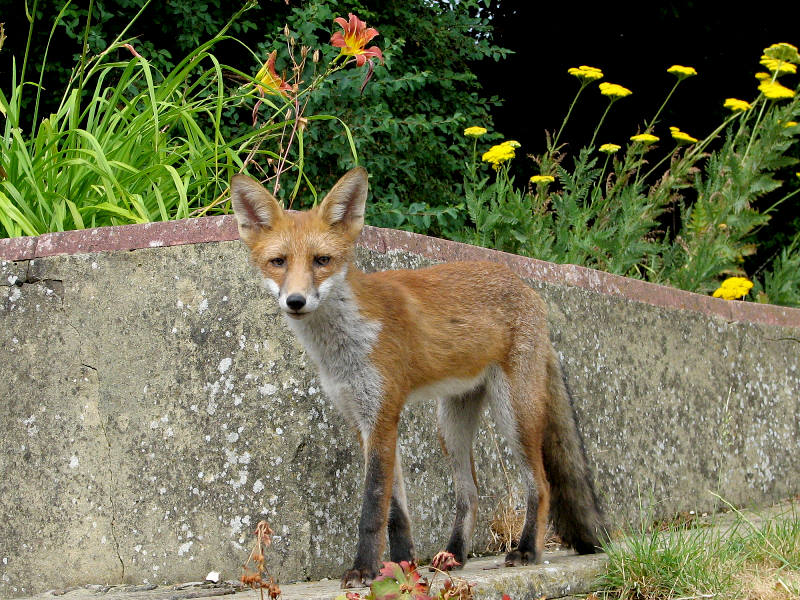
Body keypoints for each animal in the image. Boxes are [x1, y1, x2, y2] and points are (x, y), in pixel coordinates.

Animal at [230, 167, 608, 588]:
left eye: (322, 260)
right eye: (278, 261)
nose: (295, 301)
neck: (343, 348)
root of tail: (530, 290)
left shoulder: (382, 415)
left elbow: (372, 508)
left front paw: (364, 569)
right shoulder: (362, 419)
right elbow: (395, 511)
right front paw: (402, 566)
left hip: (514, 415)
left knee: (540, 484)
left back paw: (527, 551)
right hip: (450, 423)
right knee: (469, 493)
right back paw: (455, 554)